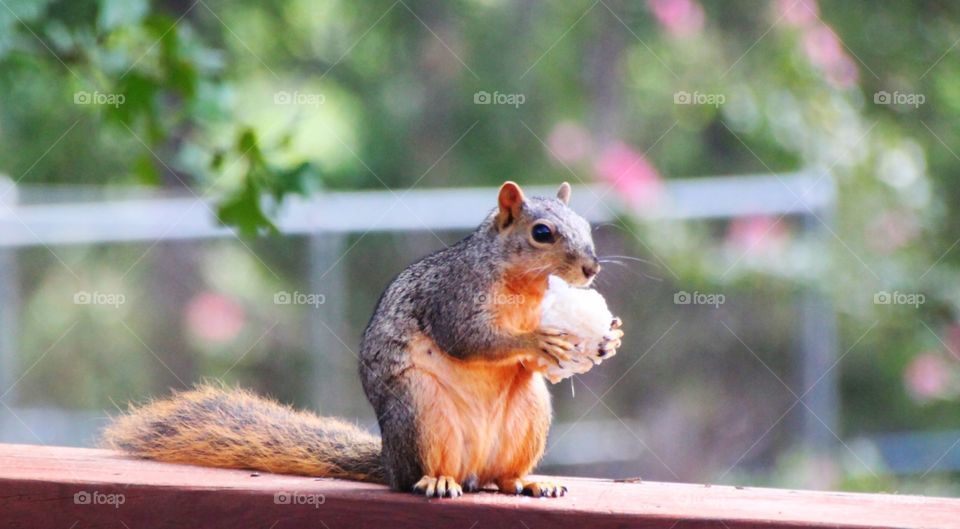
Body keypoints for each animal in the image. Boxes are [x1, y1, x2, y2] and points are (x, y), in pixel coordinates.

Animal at [103, 179, 624, 498]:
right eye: (542, 233)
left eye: (586, 227)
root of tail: (390, 462)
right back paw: (437, 481)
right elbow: (469, 338)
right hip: (420, 411)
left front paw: (608, 340)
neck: (522, 286)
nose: (592, 268)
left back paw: (529, 483)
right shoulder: (452, 297)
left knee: (503, 478)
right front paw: (539, 339)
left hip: (529, 417)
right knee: (423, 475)